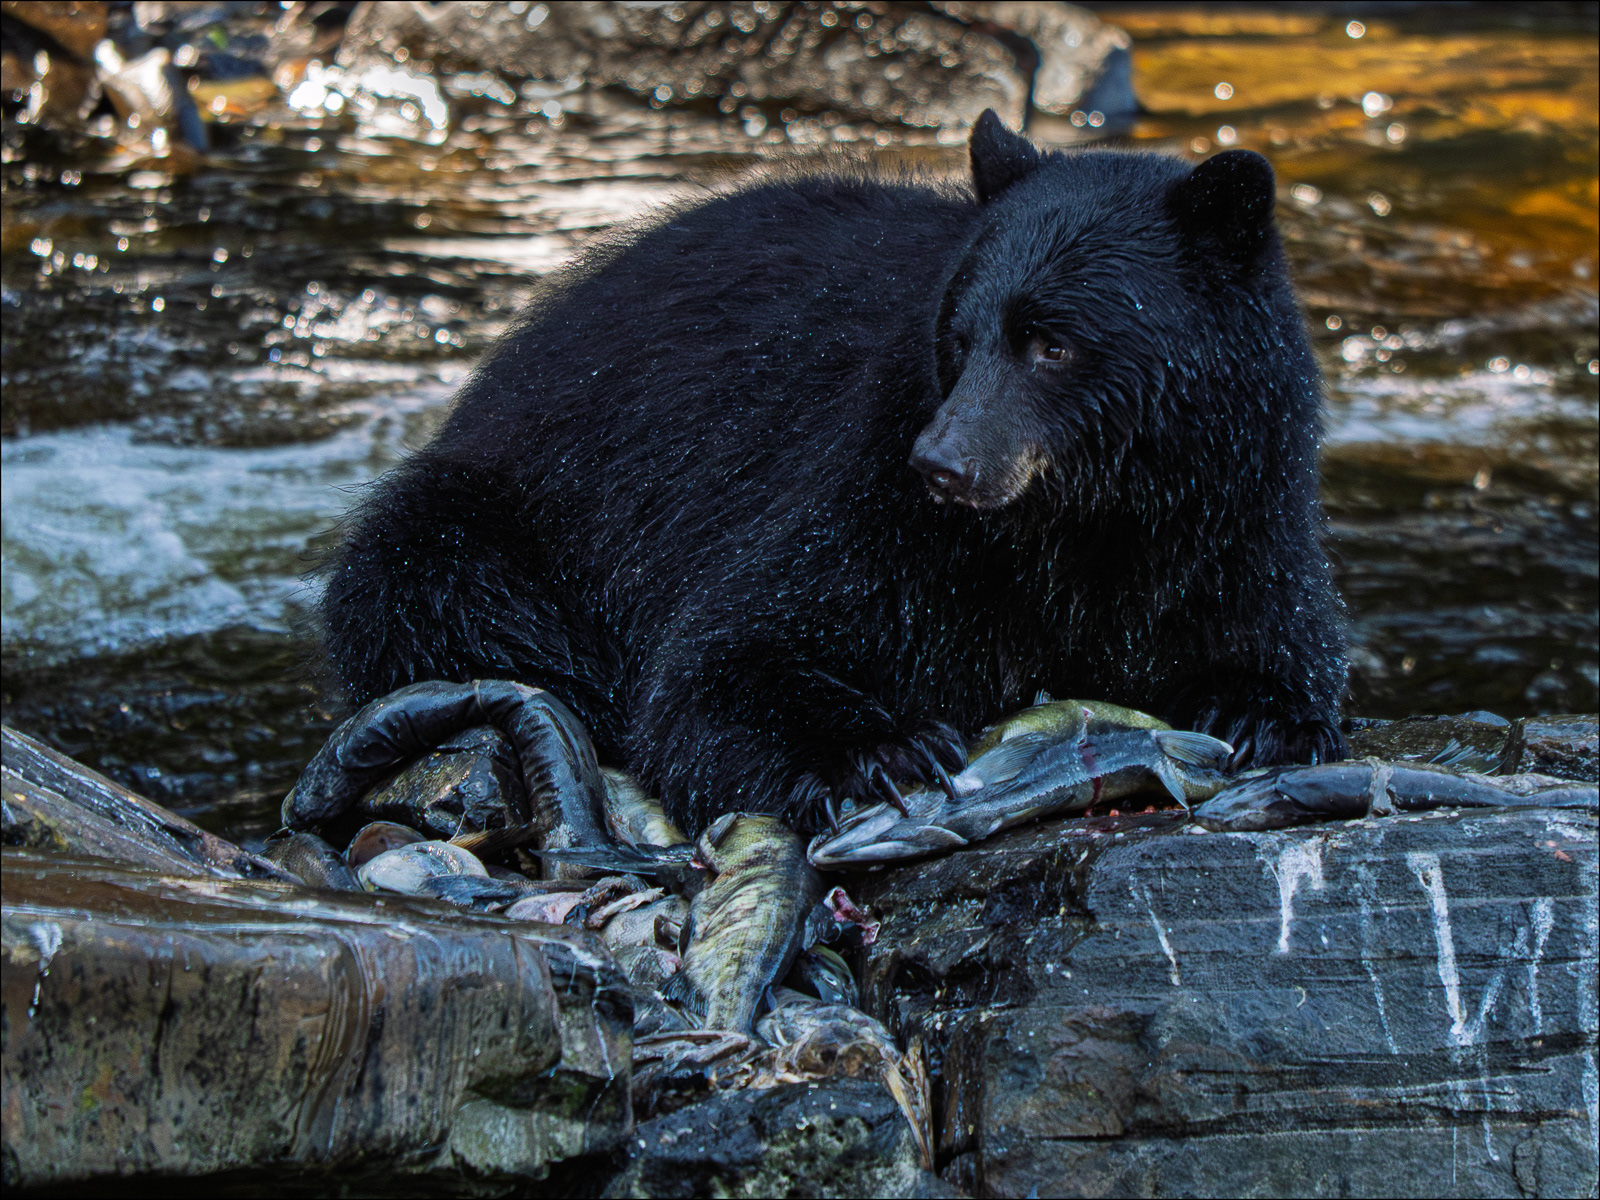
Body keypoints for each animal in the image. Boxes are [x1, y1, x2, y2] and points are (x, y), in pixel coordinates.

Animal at [316, 111, 1348, 836]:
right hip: (498, 509)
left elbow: (1281, 638)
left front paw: (1263, 715)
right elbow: (724, 662)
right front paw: (886, 749)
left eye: (1052, 343)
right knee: (441, 589)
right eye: (960, 335)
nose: (943, 464)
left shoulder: (1236, 514)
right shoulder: (875, 492)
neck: (1090, 517)